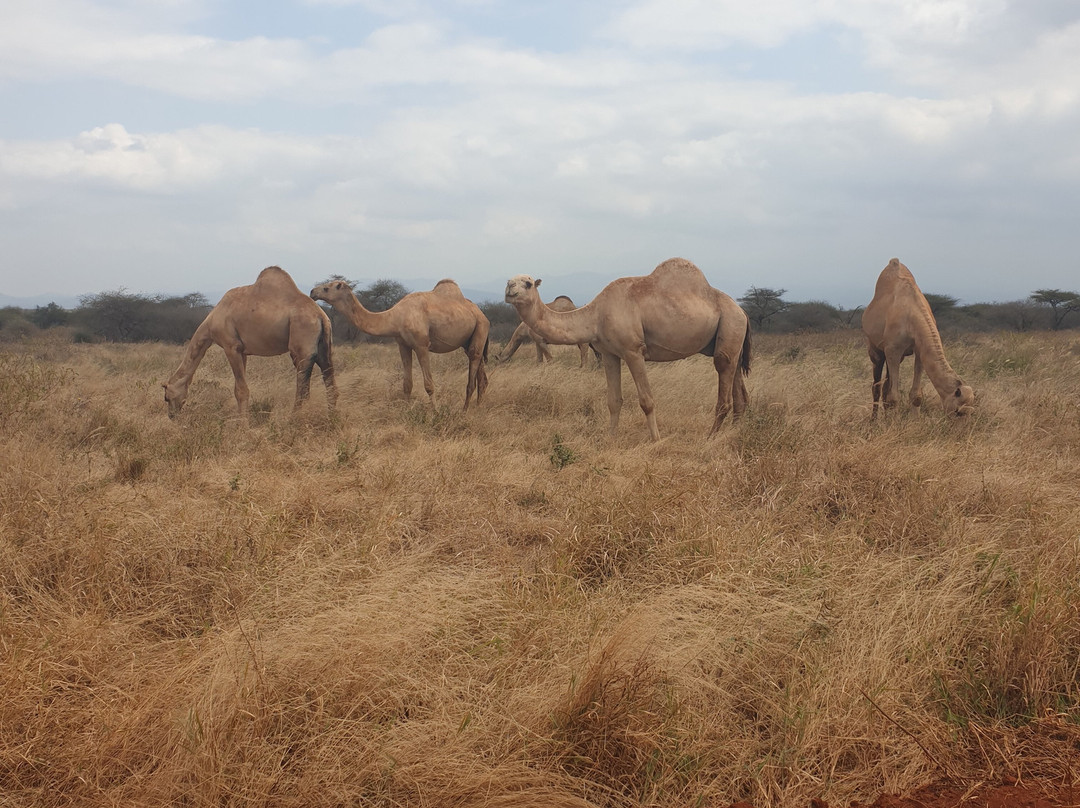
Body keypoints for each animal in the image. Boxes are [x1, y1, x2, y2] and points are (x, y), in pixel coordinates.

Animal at [164, 266, 338, 419]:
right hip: (324, 348)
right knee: (330, 383)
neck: (212, 320)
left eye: (166, 397)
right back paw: (331, 419)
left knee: (302, 390)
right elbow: (239, 387)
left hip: (301, 348)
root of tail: (321, 317)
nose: (172, 416)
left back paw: (293, 421)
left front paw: (243, 426)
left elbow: (241, 391)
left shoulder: (230, 346)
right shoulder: (242, 351)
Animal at [310, 278, 489, 410]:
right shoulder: (403, 345)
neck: (396, 317)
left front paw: (435, 412)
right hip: (469, 341)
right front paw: (406, 410)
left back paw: (465, 411)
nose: (312, 292)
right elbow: (407, 384)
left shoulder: (422, 345)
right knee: (482, 376)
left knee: (472, 377)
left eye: (326, 288)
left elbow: (429, 384)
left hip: (480, 328)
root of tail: (482, 314)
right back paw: (478, 408)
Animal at [504, 257, 751, 442]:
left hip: (730, 326)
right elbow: (613, 401)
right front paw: (610, 439)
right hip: (731, 339)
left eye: (527, 283)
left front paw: (656, 440)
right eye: (509, 280)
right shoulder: (609, 353)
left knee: (724, 380)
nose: (509, 289)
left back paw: (710, 438)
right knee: (739, 388)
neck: (596, 315)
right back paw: (735, 432)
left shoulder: (633, 351)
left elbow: (646, 400)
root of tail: (743, 312)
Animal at [861, 258, 975, 419]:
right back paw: (874, 420)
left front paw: (914, 421)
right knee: (876, 386)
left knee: (885, 387)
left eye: (971, 412)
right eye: (958, 411)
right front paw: (895, 423)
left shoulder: (919, 349)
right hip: (875, 349)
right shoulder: (893, 350)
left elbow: (916, 395)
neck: (911, 316)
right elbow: (894, 396)